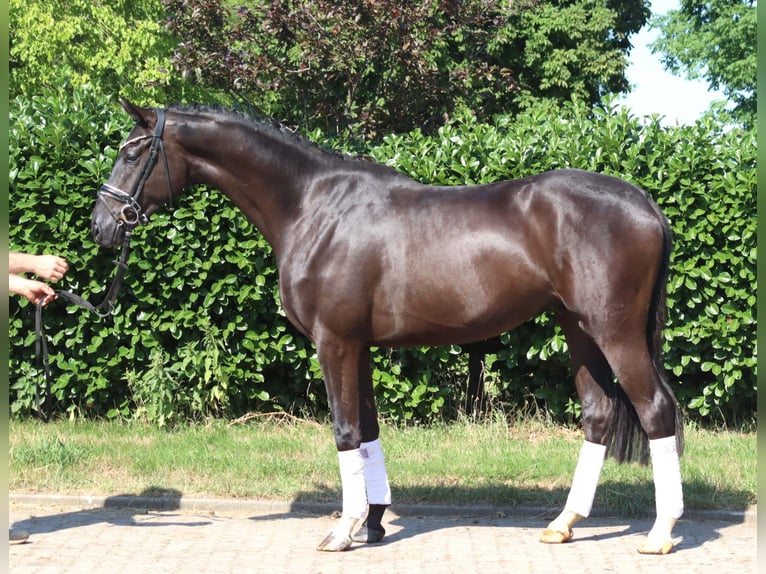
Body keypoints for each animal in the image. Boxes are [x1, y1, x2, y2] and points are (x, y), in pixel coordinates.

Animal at [91, 99, 684, 555]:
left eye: (131, 153)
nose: (101, 226)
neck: (312, 206)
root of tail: (644, 202)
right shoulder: (361, 347)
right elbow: (370, 430)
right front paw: (373, 523)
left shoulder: (334, 343)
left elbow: (345, 430)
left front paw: (343, 531)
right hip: (579, 330)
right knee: (599, 415)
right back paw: (563, 524)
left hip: (615, 334)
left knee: (656, 410)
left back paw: (660, 533)